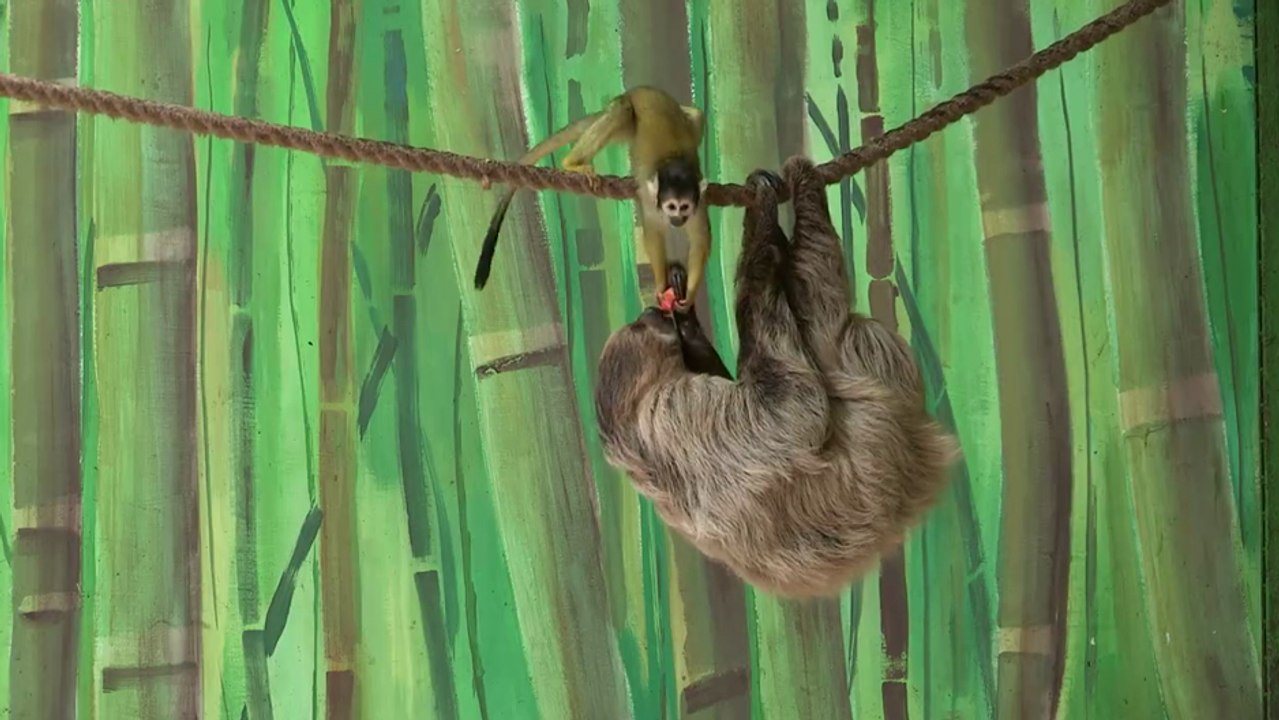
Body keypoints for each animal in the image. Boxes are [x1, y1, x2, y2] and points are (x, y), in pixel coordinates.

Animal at [474, 86, 711, 311]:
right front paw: (662, 285)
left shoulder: (698, 202)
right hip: (625, 117)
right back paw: (572, 163)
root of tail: (638, 90)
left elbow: (700, 238)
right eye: (671, 207)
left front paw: (689, 295)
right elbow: (653, 233)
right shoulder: (650, 198)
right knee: (621, 111)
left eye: (684, 207)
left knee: (697, 115)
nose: (677, 220)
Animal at [592, 157, 960, 598]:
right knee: (825, 309)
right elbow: (792, 409)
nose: (651, 312)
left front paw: (687, 316)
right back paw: (803, 195)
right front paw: (764, 213)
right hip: (874, 388)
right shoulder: (680, 413)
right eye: (640, 329)